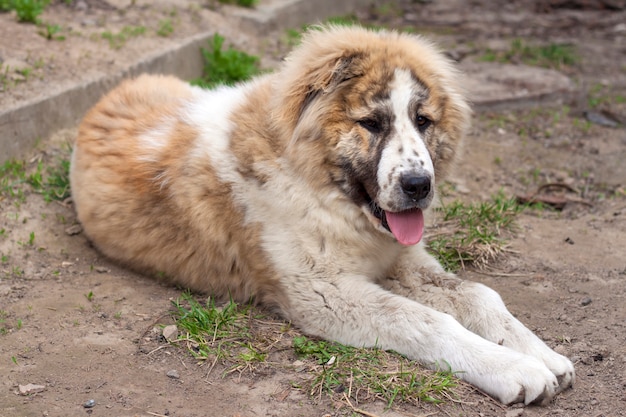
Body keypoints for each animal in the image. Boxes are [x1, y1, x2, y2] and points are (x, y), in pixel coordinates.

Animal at [69, 25, 572, 404]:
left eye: (423, 121)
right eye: (371, 124)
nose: (418, 186)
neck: (324, 193)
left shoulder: (400, 258)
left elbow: (479, 295)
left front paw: (539, 351)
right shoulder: (322, 292)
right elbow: (425, 320)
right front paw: (513, 368)